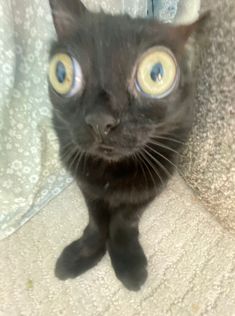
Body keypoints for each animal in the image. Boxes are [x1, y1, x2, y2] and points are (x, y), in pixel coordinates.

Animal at [49, 0, 206, 292]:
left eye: (156, 74)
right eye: (62, 73)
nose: (100, 120)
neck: (112, 172)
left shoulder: (152, 182)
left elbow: (124, 219)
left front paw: (128, 261)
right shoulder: (86, 183)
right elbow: (97, 218)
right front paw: (83, 254)